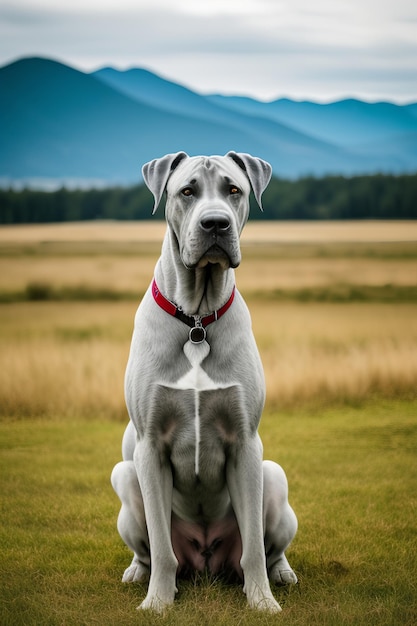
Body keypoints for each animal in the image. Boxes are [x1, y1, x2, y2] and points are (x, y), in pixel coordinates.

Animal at [110, 151, 298, 608]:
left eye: (234, 190)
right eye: (186, 191)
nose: (216, 224)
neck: (196, 319)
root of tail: (207, 558)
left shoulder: (246, 444)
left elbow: (253, 548)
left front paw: (262, 601)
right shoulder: (149, 448)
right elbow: (162, 549)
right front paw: (157, 602)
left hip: (273, 474)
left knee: (269, 548)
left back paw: (281, 573)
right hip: (125, 475)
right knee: (149, 549)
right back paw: (137, 573)